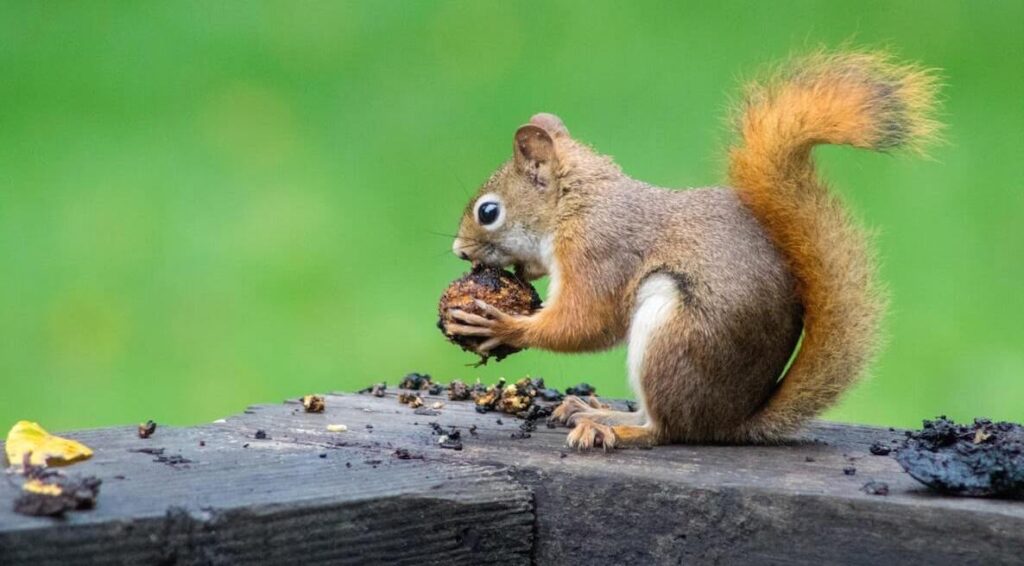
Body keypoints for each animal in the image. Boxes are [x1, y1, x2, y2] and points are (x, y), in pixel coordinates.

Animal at [446, 52, 940, 448]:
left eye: (488, 212)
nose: (458, 251)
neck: (577, 204)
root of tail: (730, 422)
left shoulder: (599, 251)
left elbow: (587, 322)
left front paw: (503, 324)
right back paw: (592, 409)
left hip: (672, 336)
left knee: (665, 429)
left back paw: (613, 427)